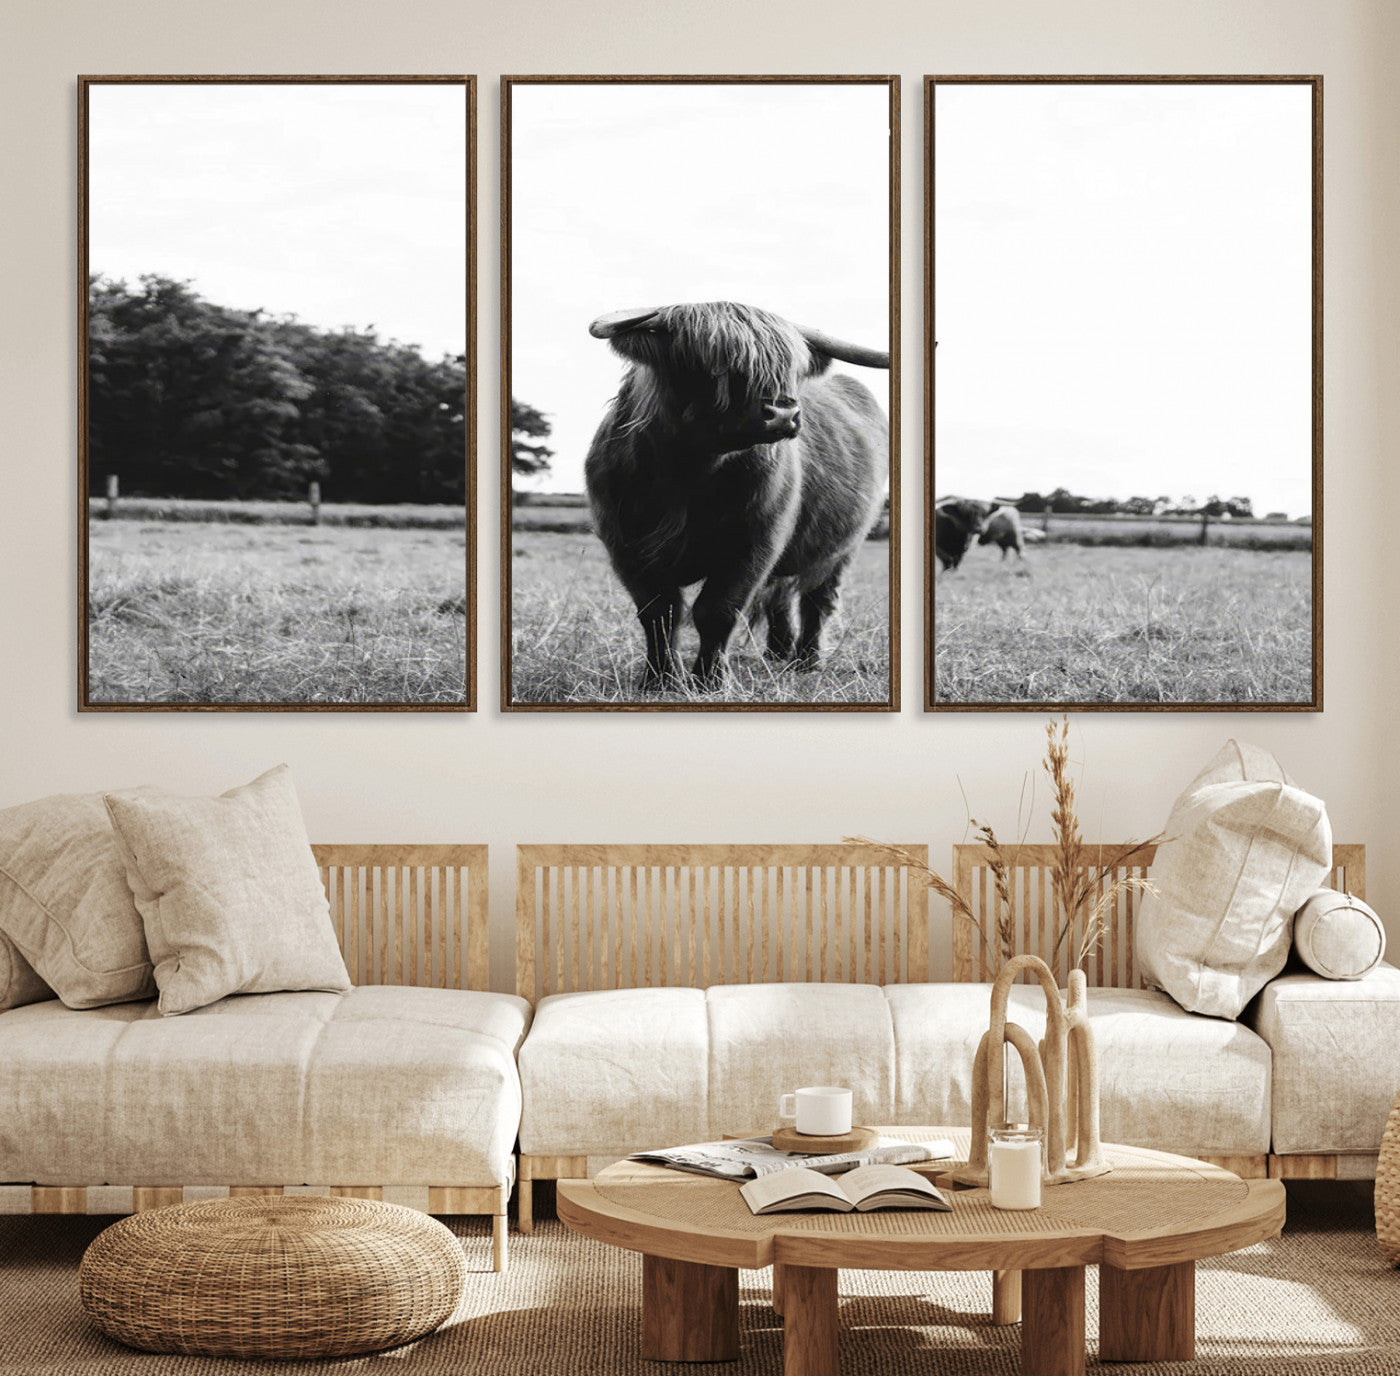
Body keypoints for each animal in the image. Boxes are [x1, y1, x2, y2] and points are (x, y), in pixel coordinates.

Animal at [583, 301, 889, 689]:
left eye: (790, 367)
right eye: (715, 362)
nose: (784, 413)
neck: (688, 471)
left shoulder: (753, 544)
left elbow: (717, 610)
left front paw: (710, 680)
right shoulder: (626, 545)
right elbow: (659, 612)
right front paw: (659, 679)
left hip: (842, 550)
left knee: (817, 600)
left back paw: (806, 661)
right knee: (780, 597)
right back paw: (777, 652)